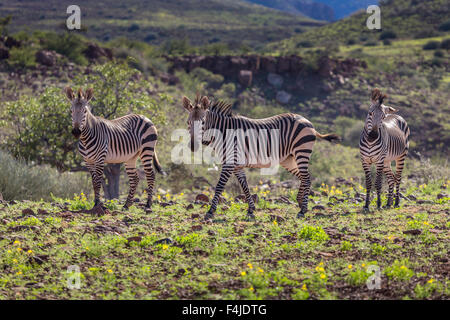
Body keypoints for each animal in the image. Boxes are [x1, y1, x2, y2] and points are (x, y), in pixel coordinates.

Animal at [181, 94, 340, 221]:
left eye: (202, 122)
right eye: (188, 122)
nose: (193, 146)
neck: (223, 133)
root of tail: (307, 121)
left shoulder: (230, 163)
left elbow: (219, 186)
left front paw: (210, 211)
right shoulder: (237, 165)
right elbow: (244, 185)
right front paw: (251, 209)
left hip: (302, 151)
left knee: (306, 177)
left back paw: (303, 210)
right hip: (289, 159)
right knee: (305, 177)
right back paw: (300, 202)